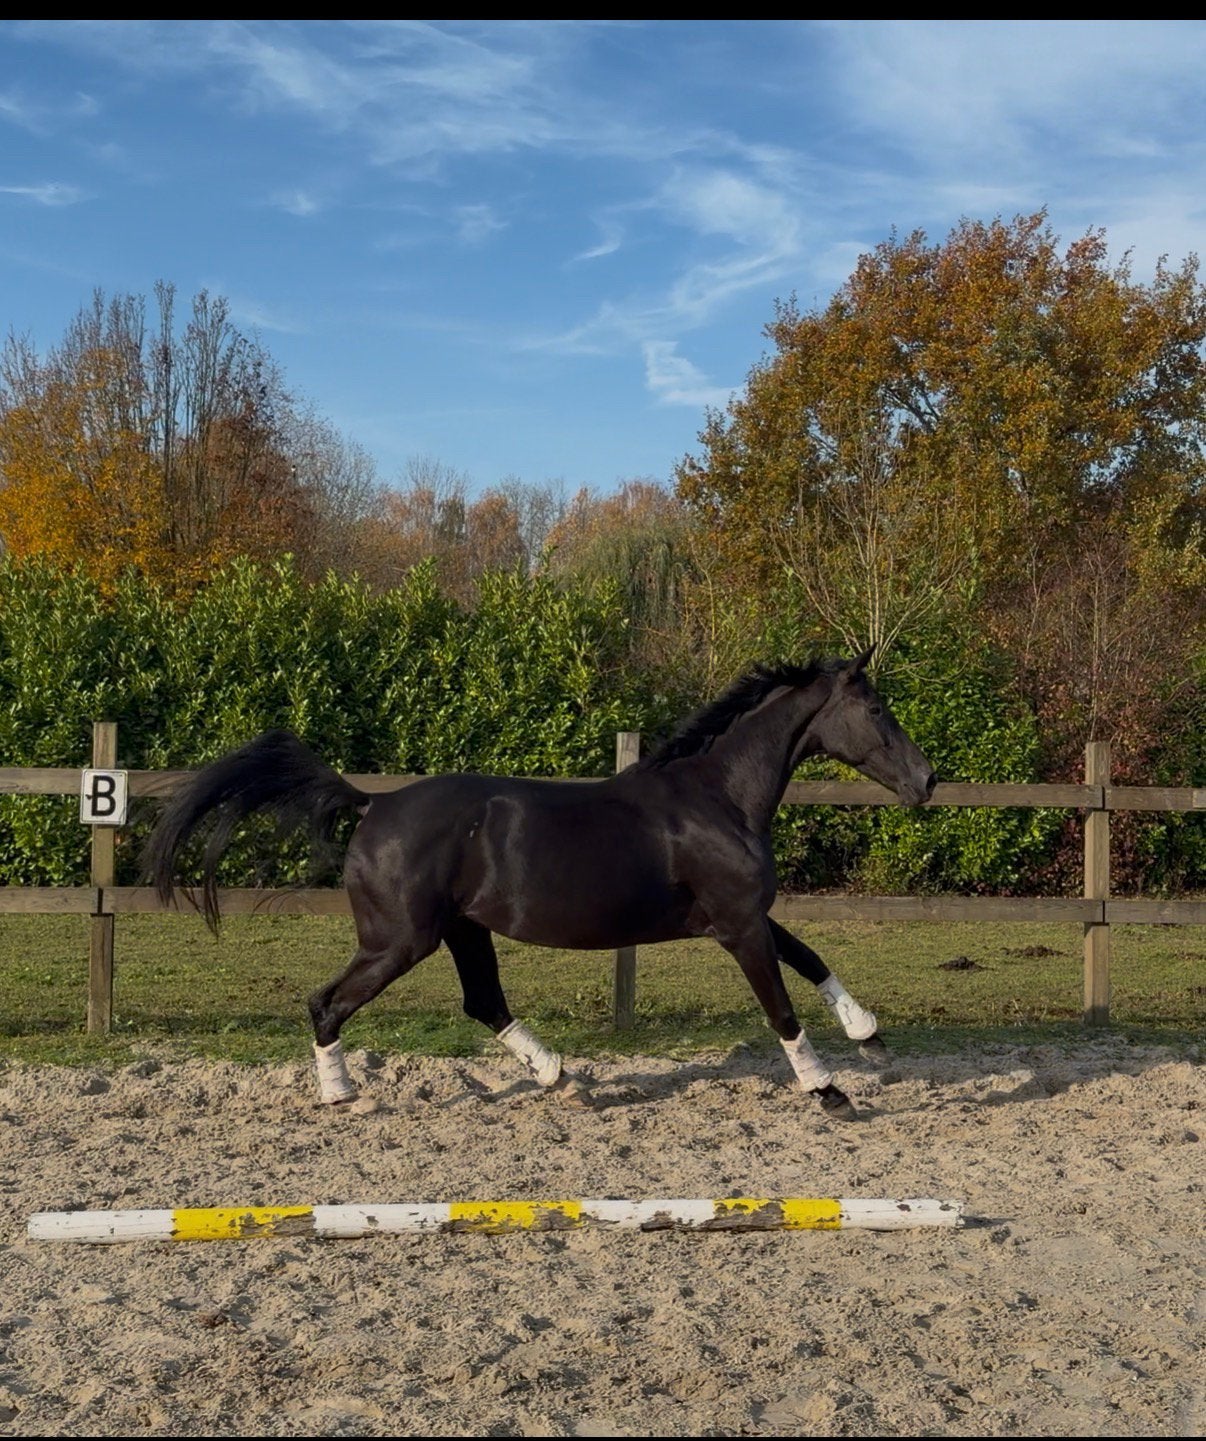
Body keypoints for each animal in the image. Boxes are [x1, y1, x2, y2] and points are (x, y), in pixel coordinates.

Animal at [142, 644, 936, 1120]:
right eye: (876, 710)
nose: (927, 780)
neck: (718, 796)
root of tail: (372, 804)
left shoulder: (742, 914)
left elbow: (811, 957)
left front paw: (869, 1035)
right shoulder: (737, 926)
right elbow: (781, 1008)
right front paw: (829, 1090)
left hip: (462, 931)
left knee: (482, 1001)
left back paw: (563, 1077)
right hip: (400, 941)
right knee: (327, 1001)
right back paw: (344, 1095)